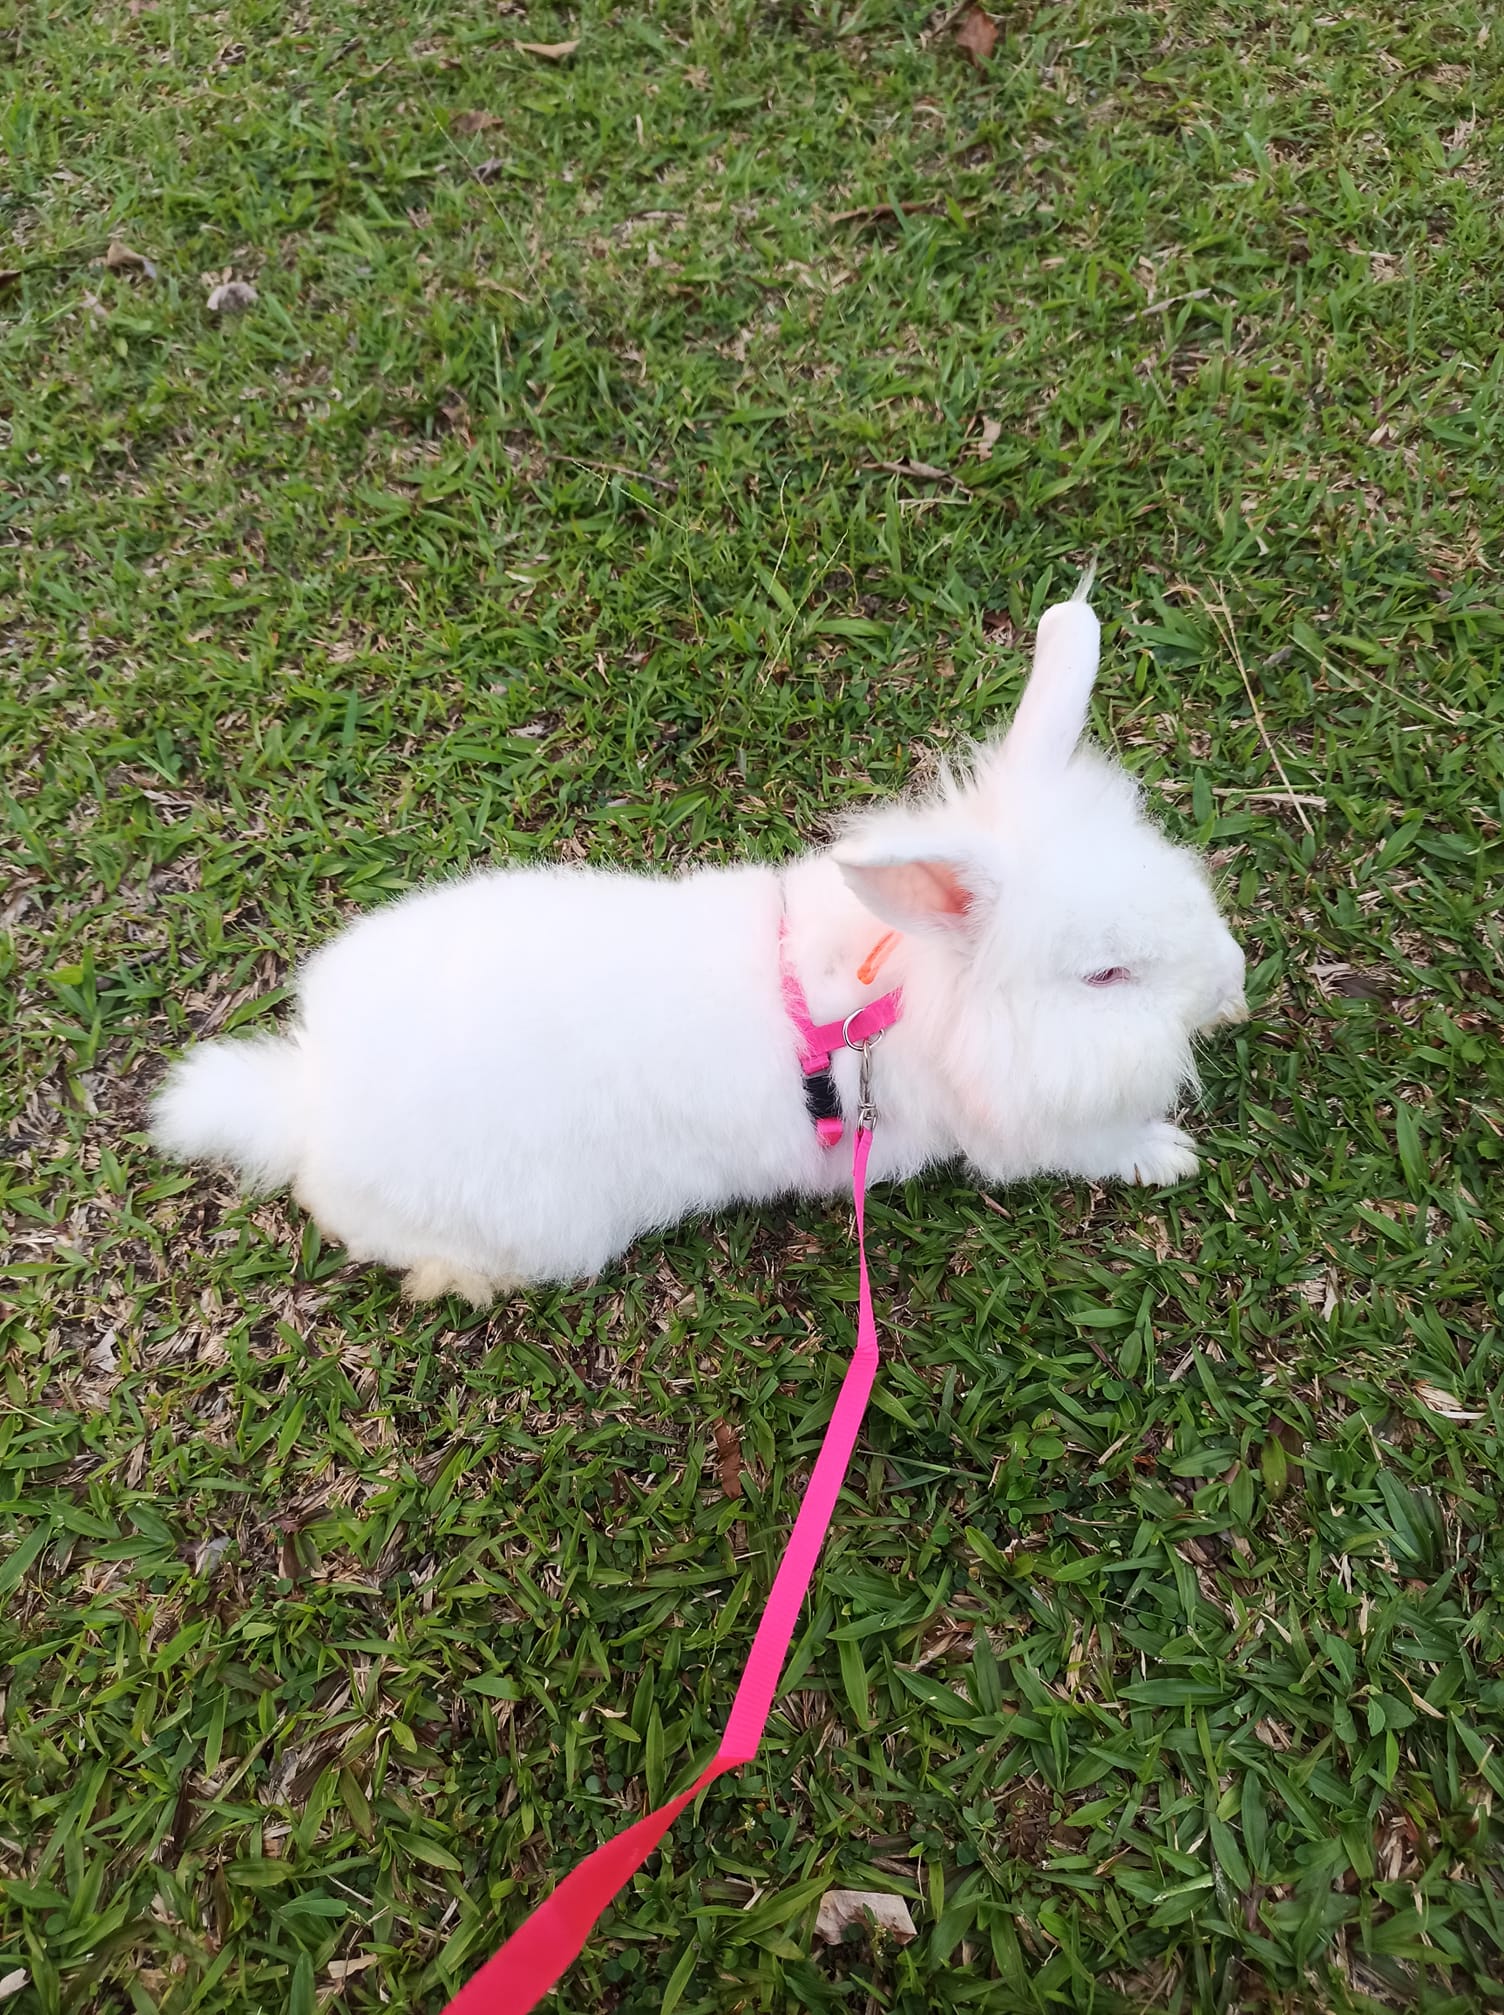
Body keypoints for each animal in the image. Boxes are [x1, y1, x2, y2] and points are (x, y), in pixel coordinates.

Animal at [152, 577, 1247, 1302]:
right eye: (1105, 974)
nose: (1229, 986)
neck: (898, 987)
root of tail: (306, 1105)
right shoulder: (1020, 1131)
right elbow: (1094, 1145)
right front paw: (1166, 1153)